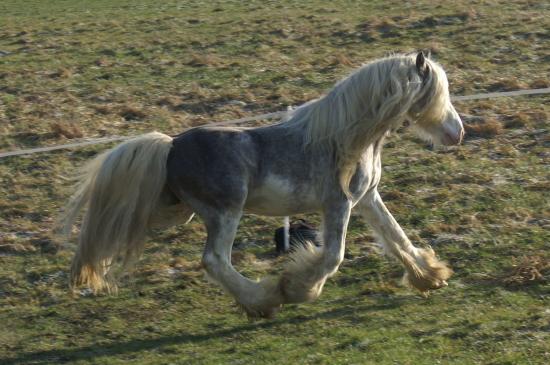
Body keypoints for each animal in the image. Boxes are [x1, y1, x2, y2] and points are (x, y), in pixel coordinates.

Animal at [60, 52, 466, 318]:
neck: (344, 139)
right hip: (225, 212)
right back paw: (264, 300)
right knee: (214, 260)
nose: (457, 132)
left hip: (180, 210)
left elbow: (397, 238)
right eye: (436, 91)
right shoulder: (338, 204)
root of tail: (171, 144)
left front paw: (430, 277)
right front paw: (297, 288)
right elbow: (333, 256)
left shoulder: (366, 198)